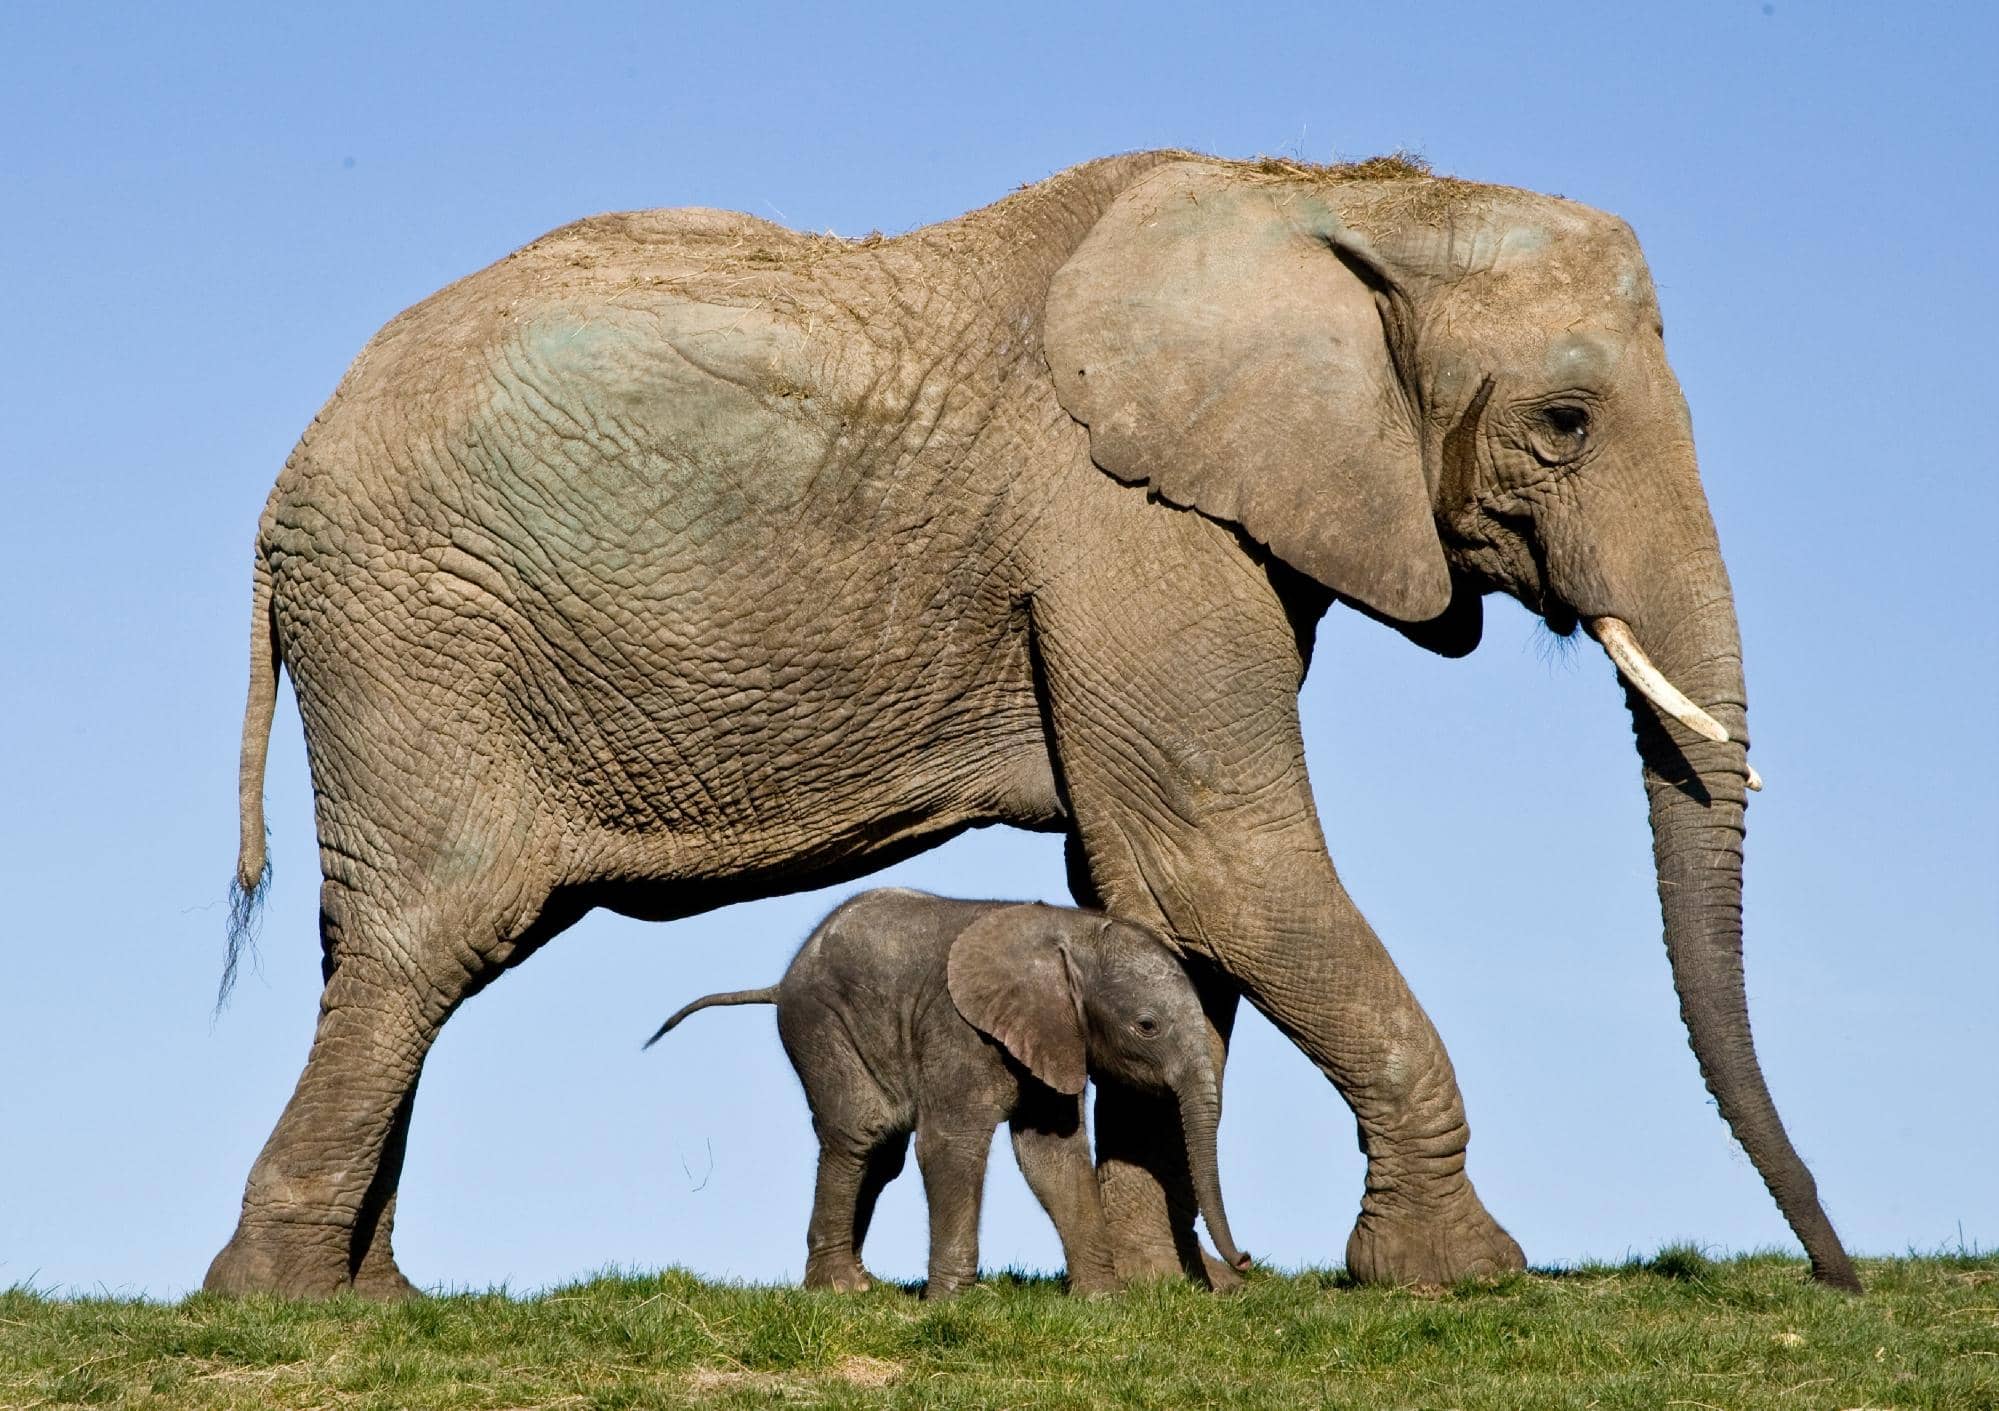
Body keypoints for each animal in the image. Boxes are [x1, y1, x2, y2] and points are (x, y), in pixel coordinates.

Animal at [645, 888, 1251, 1298]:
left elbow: (1051, 1155)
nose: (1245, 1262)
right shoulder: (958, 1028)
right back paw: (842, 1290)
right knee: (858, 1132)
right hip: (822, 1024)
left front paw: (1102, 1302)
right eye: (1147, 1026)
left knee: (882, 1153)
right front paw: (953, 1305)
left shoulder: (1054, 1035)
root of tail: (781, 980)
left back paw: (860, 1285)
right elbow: (951, 1146)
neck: (1070, 934)